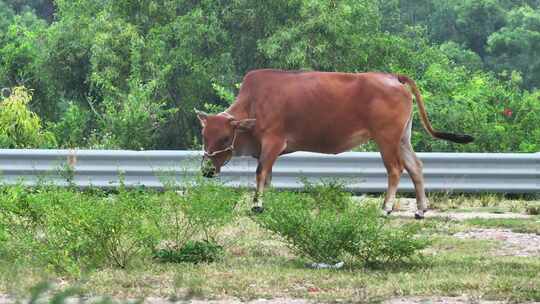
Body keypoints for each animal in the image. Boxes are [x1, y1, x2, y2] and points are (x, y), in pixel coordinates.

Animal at [195, 69, 472, 218]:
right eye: (204, 136)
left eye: (224, 137)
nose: (207, 170)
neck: (253, 102)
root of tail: (393, 76)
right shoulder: (268, 150)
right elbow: (269, 176)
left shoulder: (272, 142)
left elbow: (261, 173)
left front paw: (257, 205)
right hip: (403, 138)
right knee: (416, 167)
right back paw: (420, 210)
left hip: (387, 139)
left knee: (395, 170)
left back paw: (385, 208)